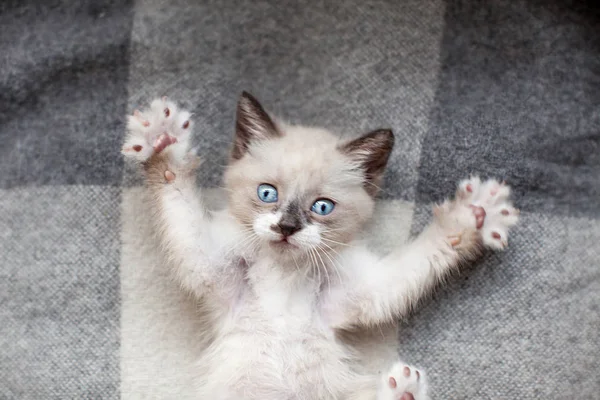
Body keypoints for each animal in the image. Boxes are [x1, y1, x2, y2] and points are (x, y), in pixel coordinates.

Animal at [120, 92, 516, 398]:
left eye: (322, 207)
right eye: (268, 193)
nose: (287, 227)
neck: (285, 274)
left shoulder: (364, 293)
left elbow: (421, 257)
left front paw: (475, 215)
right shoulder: (208, 265)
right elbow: (176, 193)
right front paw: (162, 140)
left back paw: (402, 393)